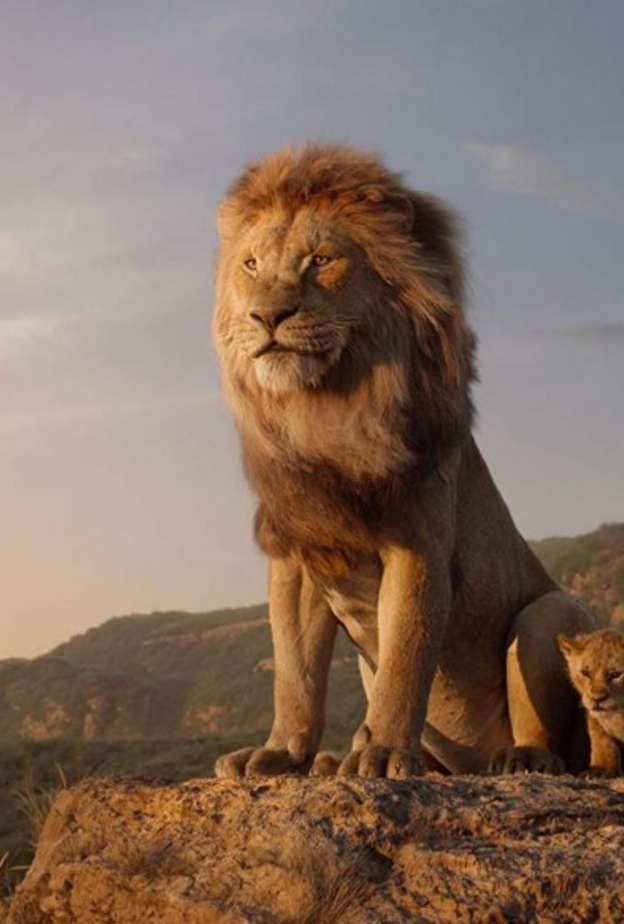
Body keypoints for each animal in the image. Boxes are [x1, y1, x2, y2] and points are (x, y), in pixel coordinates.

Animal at [212, 143, 597, 779]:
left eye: (320, 260)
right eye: (250, 265)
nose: (267, 316)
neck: (324, 410)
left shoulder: (418, 547)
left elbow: (405, 660)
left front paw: (385, 753)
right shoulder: (298, 555)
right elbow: (295, 673)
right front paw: (280, 752)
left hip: (550, 612)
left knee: (550, 734)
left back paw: (519, 758)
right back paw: (333, 760)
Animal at [558, 629, 624, 777]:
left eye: (616, 674)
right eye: (585, 672)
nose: (597, 699)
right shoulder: (594, 718)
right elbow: (601, 742)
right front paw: (600, 769)